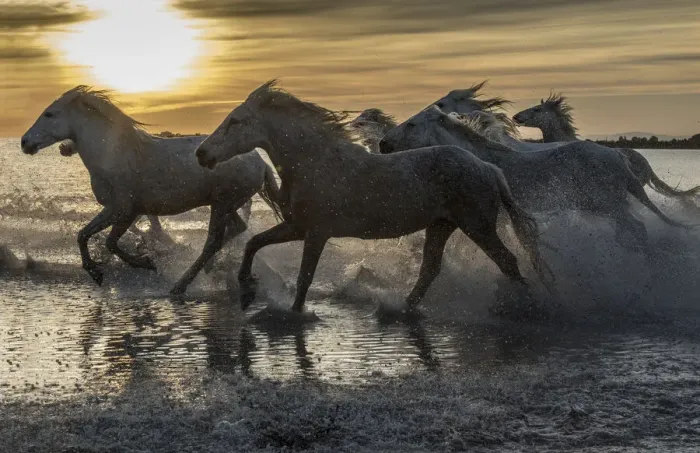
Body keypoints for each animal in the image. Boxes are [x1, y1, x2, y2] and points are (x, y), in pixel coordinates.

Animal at [21, 85, 282, 295]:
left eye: (49, 114)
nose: (24, 143)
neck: (113, 156)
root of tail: (261, 163)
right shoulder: (122, 210)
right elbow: (90, 237)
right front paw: (102, 271)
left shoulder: (124, 210)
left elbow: (103, 240)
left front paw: (141, 263)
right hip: (226, 203)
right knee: (237, 228)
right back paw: (210, 268)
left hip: (222, 204)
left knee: (213, 241)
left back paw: (181, 285)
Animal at [194, 80, 553, 315]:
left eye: (236, 121)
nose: (201, 153)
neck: (316, 162)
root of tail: (489, 168)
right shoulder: (297, 227)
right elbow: (254, 243)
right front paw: (246, 287)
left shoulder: (317, 233)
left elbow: (304, 279)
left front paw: (294, 315)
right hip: (441, 226)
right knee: (430, 269)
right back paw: (401, 309)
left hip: (477, 225)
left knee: (507, 262)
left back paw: (529, 305)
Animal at [379, 105, 690, 256]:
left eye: (412, 124)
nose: (382, 144)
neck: (483, 161)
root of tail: (618, 157)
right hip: (603, 207)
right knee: (631, 230)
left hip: (609, 205)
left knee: (638, 229)